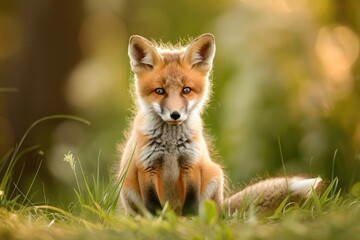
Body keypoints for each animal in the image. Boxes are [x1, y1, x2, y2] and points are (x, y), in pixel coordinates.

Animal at [118, 33, 324, 216]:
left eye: (186, 90)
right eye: (159, 91)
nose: (175, 115)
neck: (170, 145)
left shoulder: (191, 163)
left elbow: (191, 202)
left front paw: (190, 221)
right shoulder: (147, 165)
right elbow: (153, 205)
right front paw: (157, 221)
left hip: (214, 174)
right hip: (127, 185)